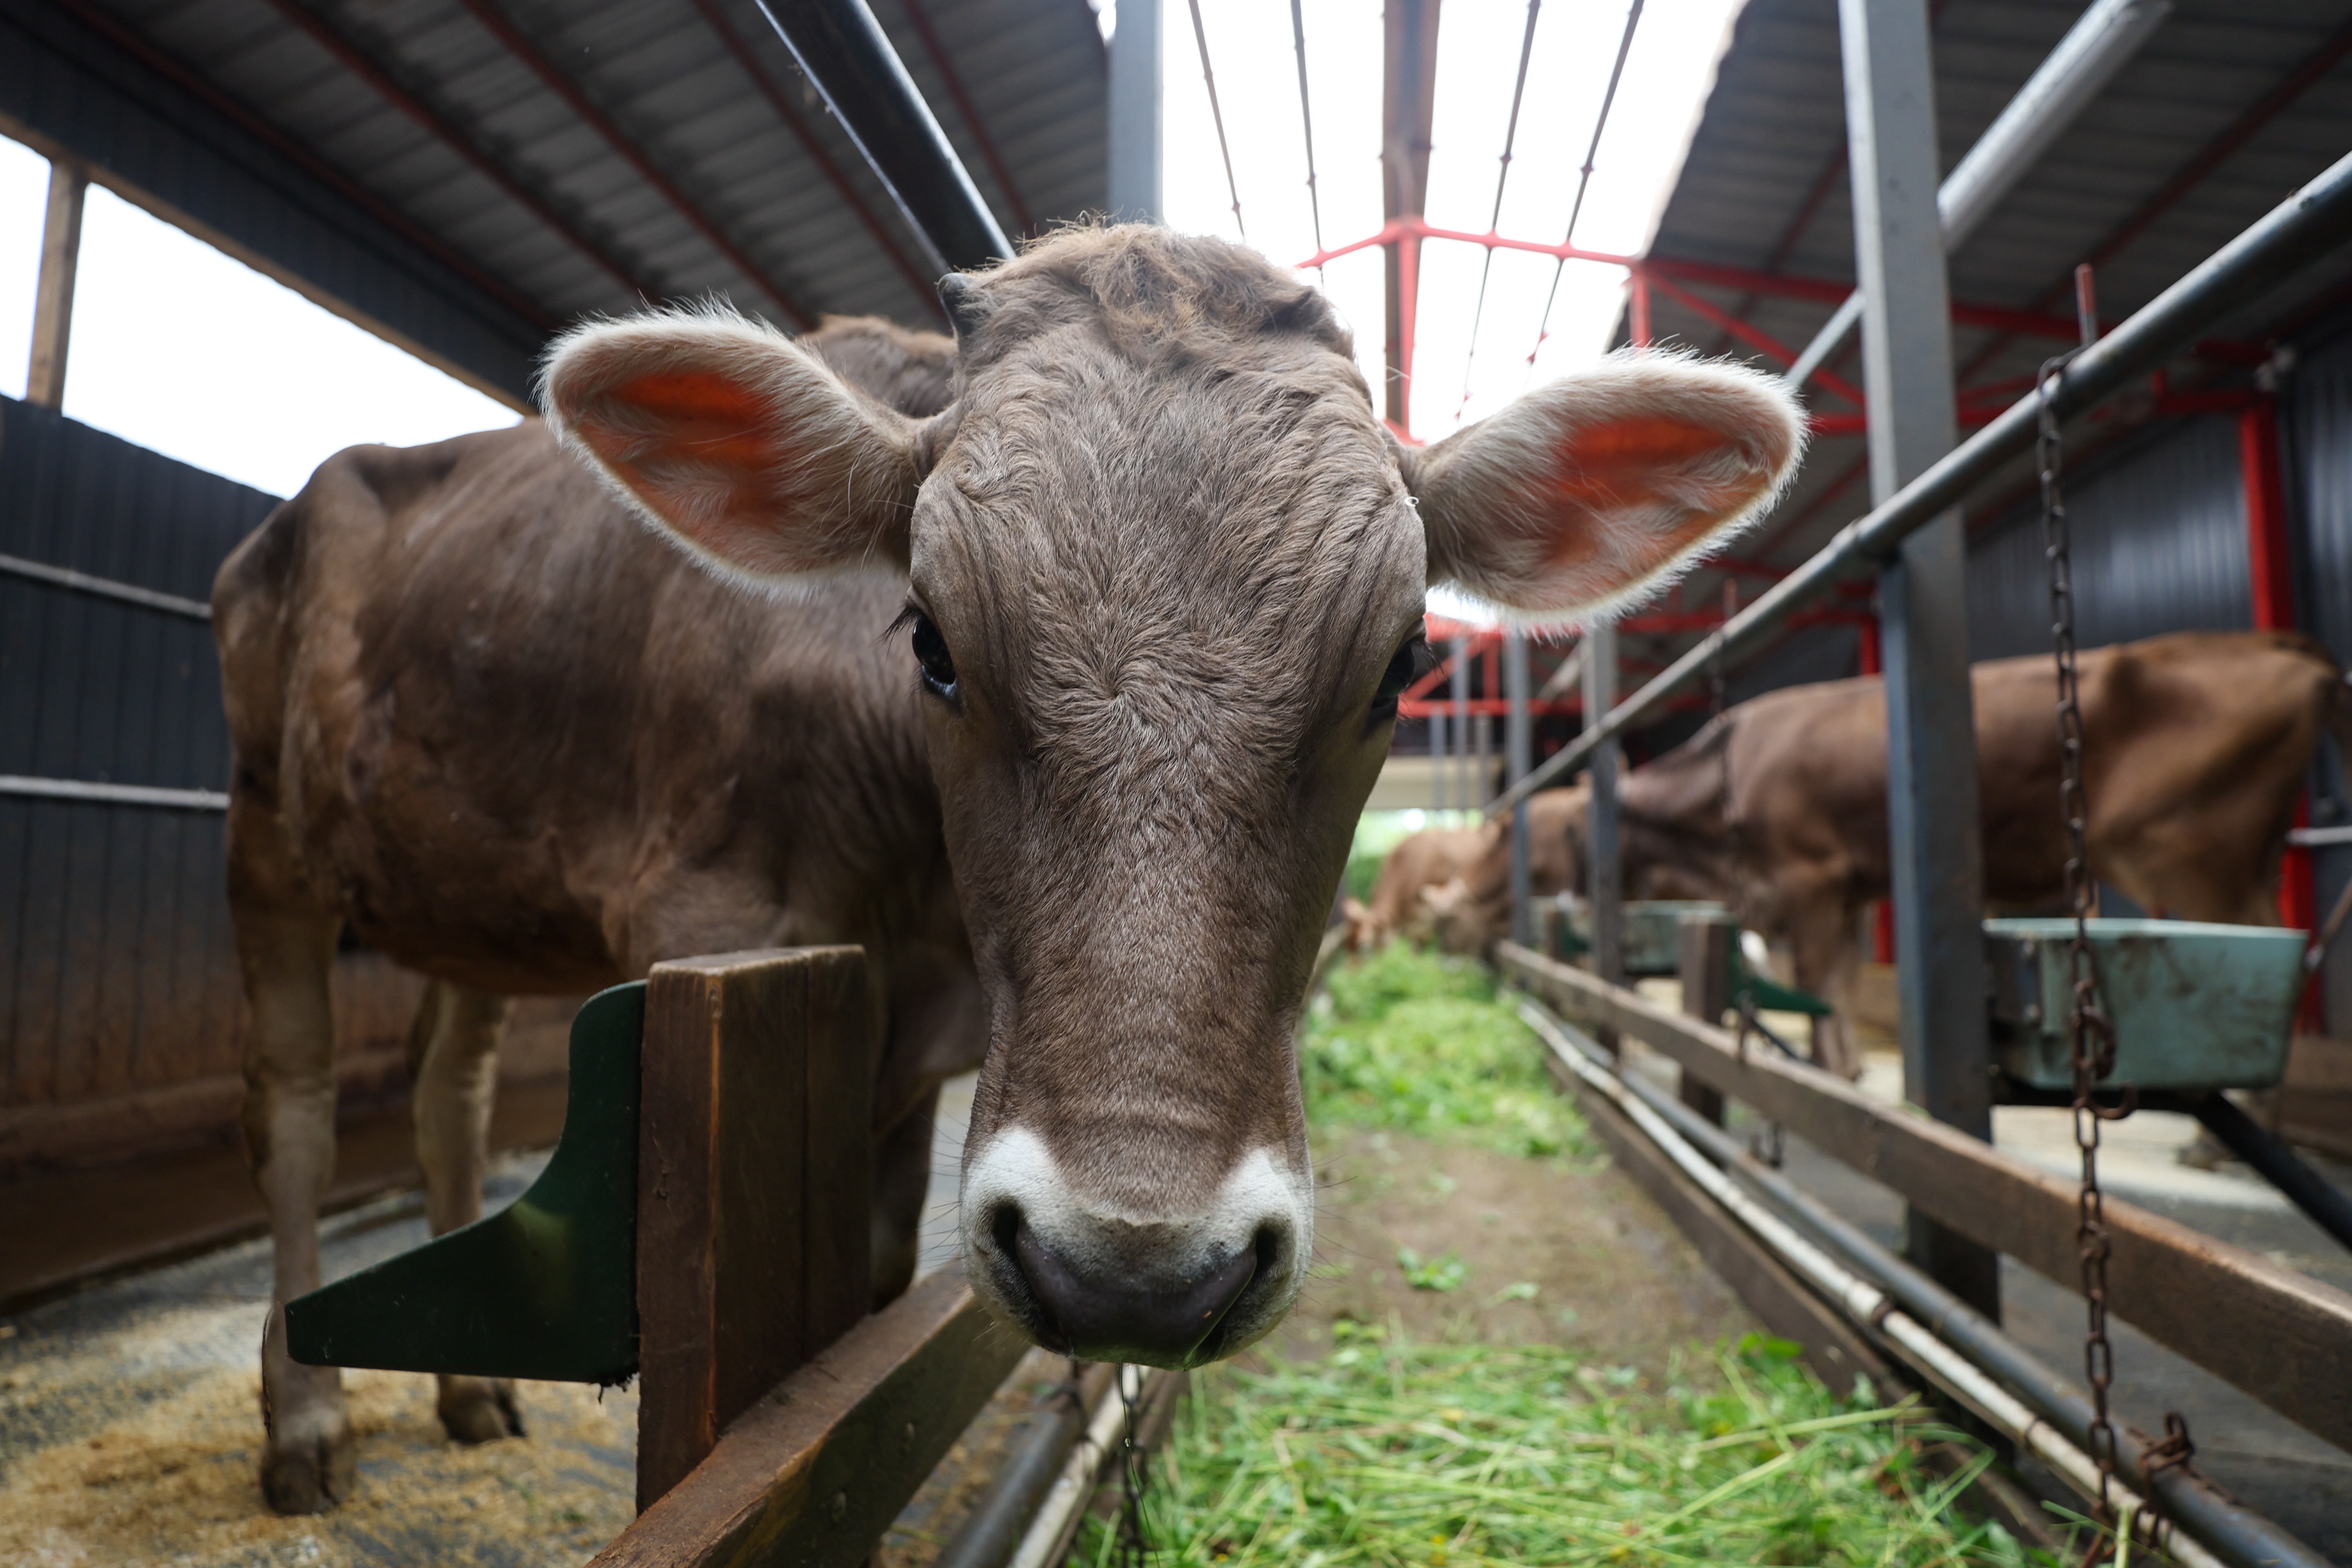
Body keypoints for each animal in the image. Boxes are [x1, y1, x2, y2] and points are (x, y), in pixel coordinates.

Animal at [218, 224, 1804, 1511]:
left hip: (466, 893)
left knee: (449, 1081)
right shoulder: (709, 922)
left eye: (1402, 662)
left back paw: (469, 1392)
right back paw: (303, 1418)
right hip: (267, 842)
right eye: (928, 638)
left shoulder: (910, 1053)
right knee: (293, 1106)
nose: (1134, 1270)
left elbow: (859, 1320)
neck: (911, 905)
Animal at [1588, 631, 2347, 1075]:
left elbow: (1819, 986)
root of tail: (2285, 650)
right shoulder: (1843, 895)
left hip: (2197, 858)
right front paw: (1850, 1072)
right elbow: (1832, 988)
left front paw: (1836, 1075)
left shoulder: (1811, 882)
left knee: (2272, 951)